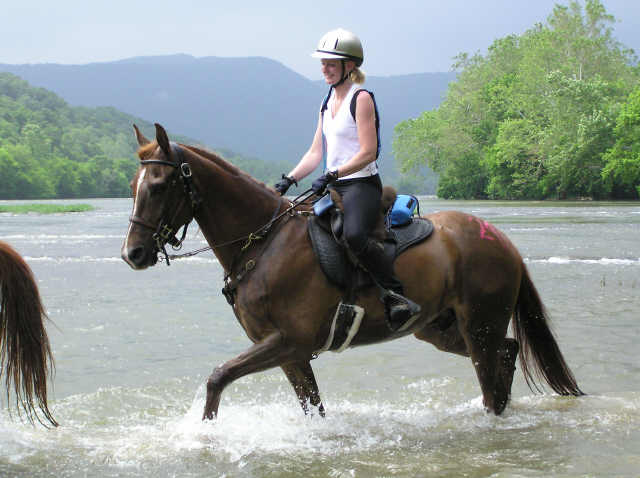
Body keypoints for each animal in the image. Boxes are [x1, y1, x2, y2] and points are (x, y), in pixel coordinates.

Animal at [120, 124, 584, 422]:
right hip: (442, 329)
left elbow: (218, 378)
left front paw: (204, 436)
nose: (133, 253)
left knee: (492, 369)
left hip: (479, 326)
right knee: (506, 352)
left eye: (159, 186)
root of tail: (502, 241)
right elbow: (313, 407)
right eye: (131, 186)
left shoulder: (289, 341)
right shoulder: (288, 352)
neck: (264, 242)